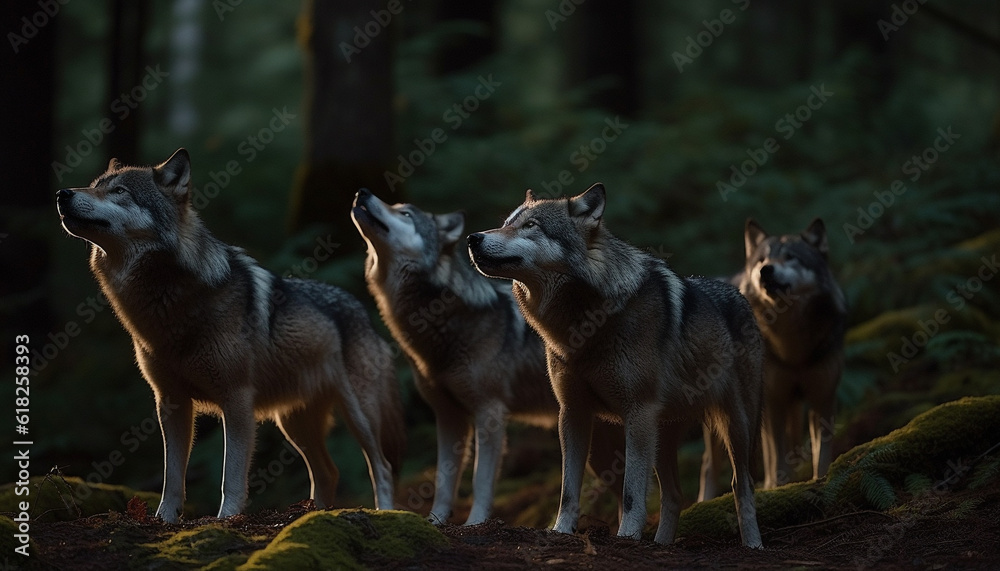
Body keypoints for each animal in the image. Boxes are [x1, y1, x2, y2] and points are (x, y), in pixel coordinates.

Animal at [55, 148, 404, 522]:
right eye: (95, 186)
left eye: (119, 191)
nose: (62, 194)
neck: (168, 302)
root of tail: (363, 311)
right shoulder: (171, 403)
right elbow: (172, 476)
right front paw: (164, 520)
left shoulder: (236, 401)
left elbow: (231, 475)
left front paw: (226, 520)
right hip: (293, 424)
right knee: (328, 472)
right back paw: (312, 517)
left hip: (357, 415)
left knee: (381, 467)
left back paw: (383, 512)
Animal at [467, 183, 764, 547]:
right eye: (506, 224)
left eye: (530, 226)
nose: (473, 238)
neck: (581, 325)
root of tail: (740, 294)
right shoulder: (572, 413)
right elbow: (568, 490)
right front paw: (561, 531)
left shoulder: (638, 412)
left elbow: (632, 492)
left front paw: (627, 536)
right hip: (662, 435)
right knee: (674, 494)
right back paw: (661, 545)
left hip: (735, 425)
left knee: (742, 484)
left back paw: (753, 545)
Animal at [702, 219, 846, 497]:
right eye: (762, 259)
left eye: (790, 257)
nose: (765, 270)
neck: (793, 348)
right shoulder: (773, 401)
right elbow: (775, 456)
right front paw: (777, 487)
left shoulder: (822, 396)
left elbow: (821, 450)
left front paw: (821, 478)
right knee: (708, 465)